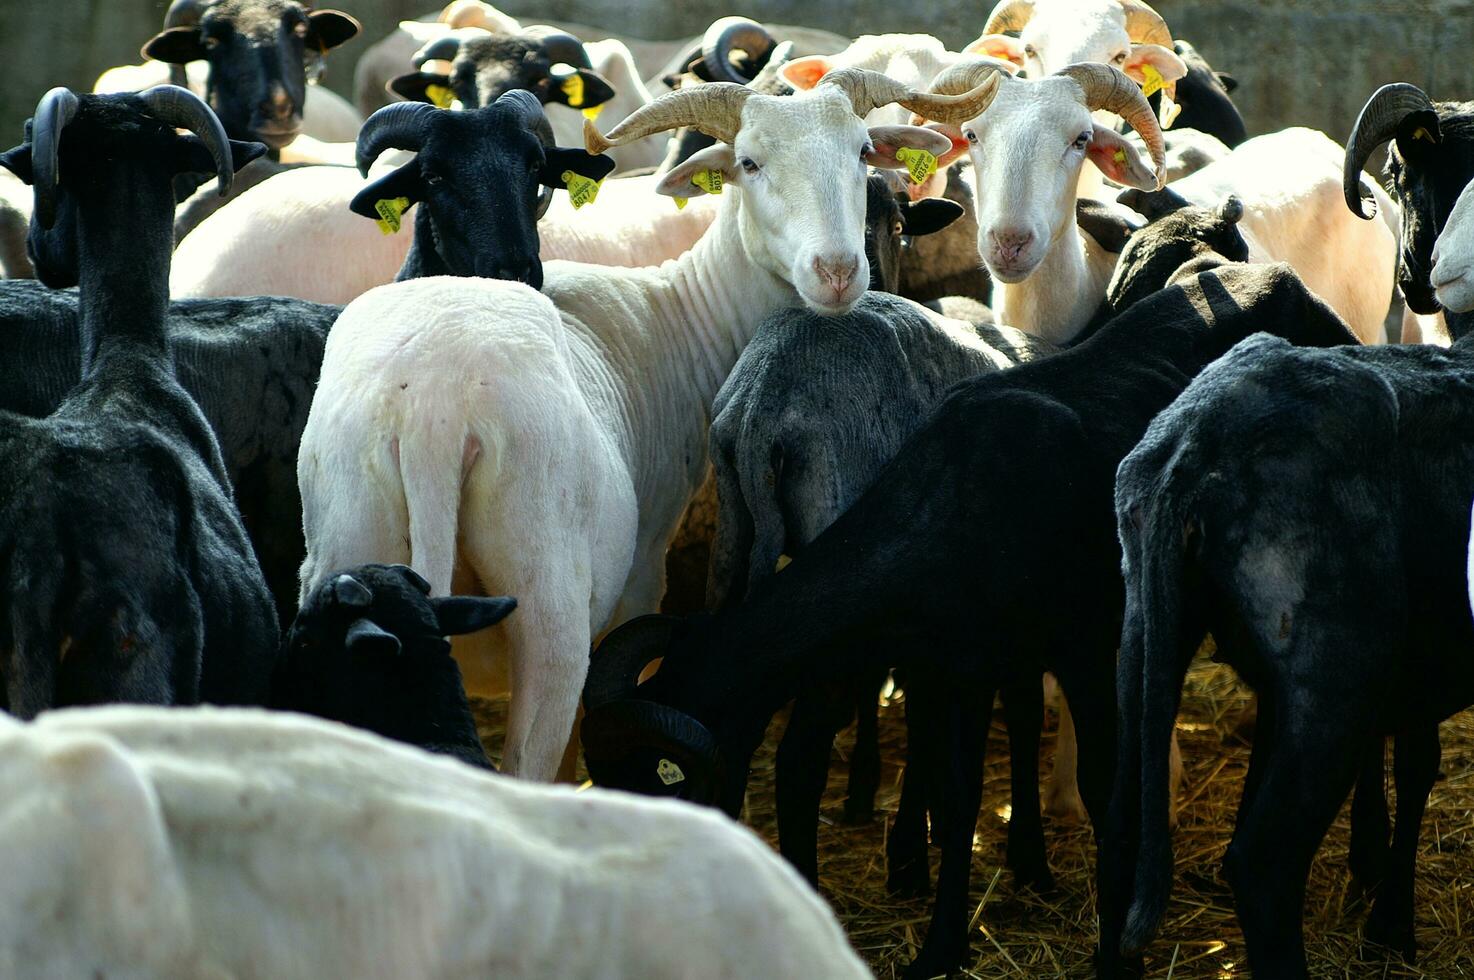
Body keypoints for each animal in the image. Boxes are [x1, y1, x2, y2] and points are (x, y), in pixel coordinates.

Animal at [288, 67, 1002, 778]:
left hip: (345, 550)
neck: (681, 311)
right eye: (748, 163)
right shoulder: (640, 576)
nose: (839, 273)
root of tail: (430, 417)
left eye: (861, 152)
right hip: (549, 606)